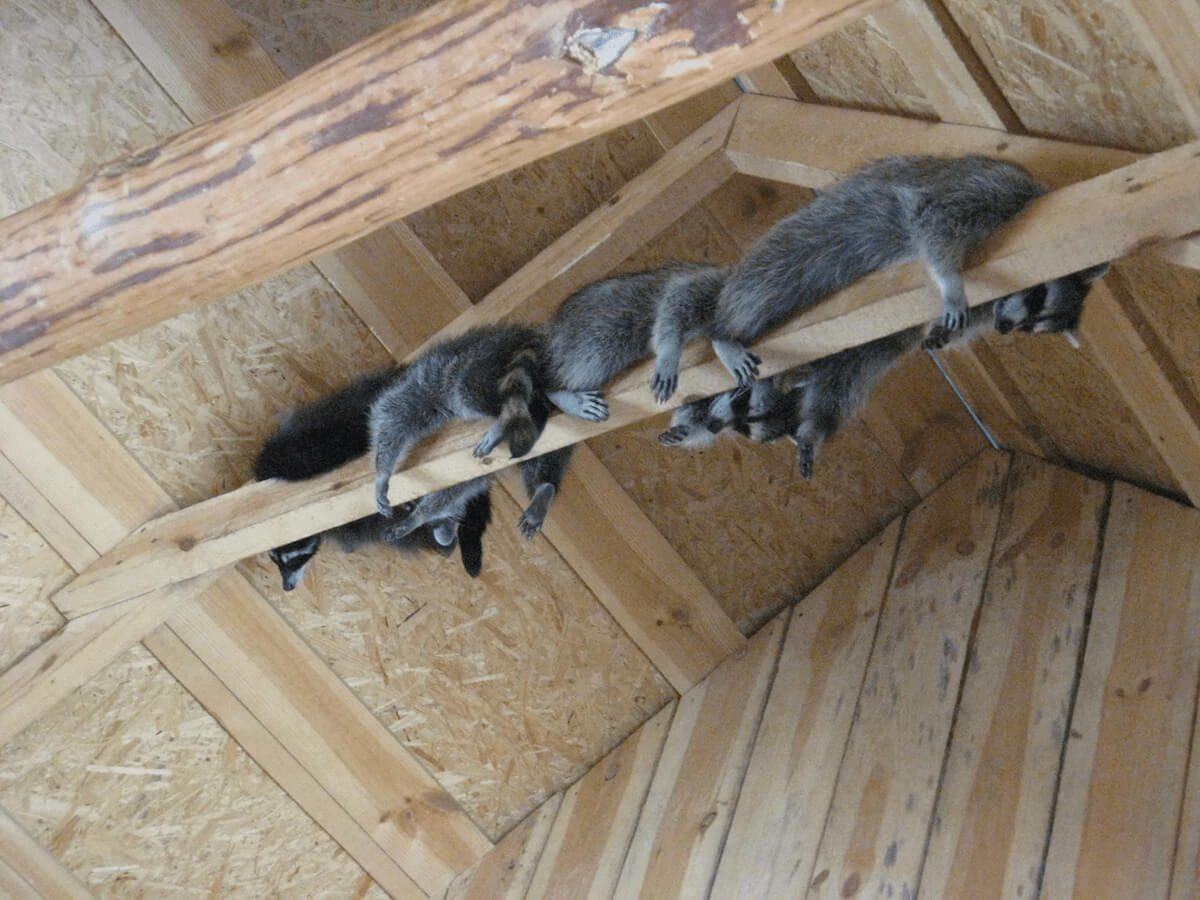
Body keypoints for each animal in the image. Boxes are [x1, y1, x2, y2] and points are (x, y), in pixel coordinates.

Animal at [652, 154, 1056, 400]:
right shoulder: (990, 188)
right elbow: (933, 221)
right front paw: (951, 284)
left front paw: (950, 328)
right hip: (785, 252)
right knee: (745, 292)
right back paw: (718, 333)